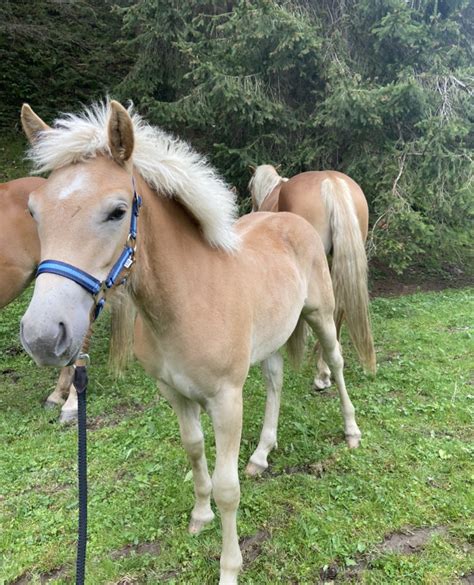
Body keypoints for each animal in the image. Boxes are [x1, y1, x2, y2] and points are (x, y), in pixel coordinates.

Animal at [18, 101, 360, 584]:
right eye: (34, 212)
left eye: (117, 211)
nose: (43, 336)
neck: (187, 300)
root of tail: (291, 219)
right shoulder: (176, 394)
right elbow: (195, 451)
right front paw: (200, 517)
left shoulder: (226, 399)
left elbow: (228, 487)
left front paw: (229, 568)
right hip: (272, 340)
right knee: (274, 382)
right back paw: (262, 453)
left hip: (322, 316)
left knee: (337, 360)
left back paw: (351, 431)